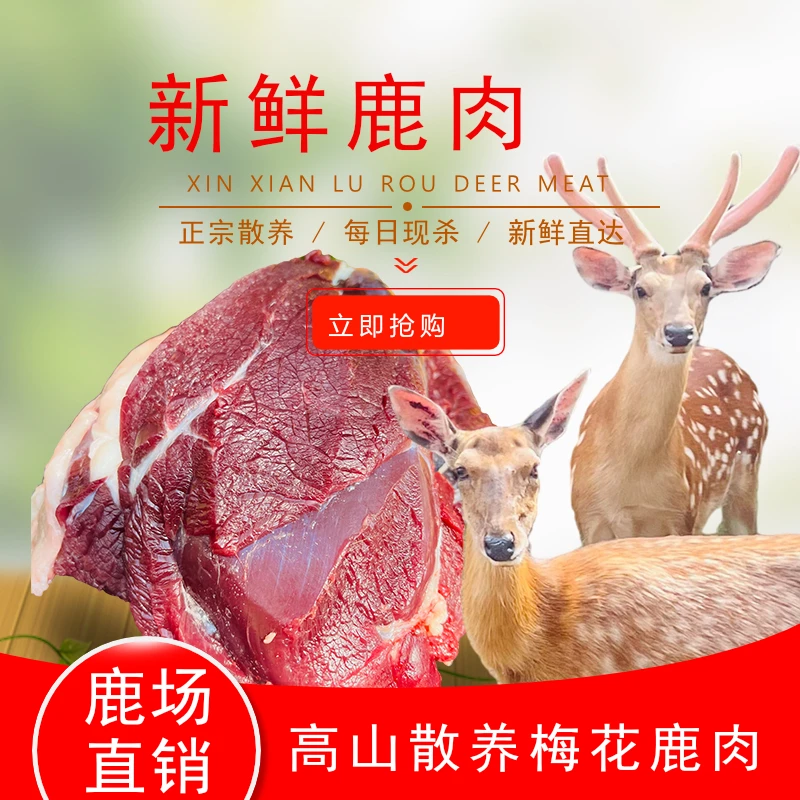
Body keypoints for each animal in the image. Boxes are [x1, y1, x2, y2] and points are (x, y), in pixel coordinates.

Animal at [545, 148, 799, 544]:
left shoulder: (681, 515)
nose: (679, 333)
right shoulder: (589, 520)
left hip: (749, 469)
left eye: (705, 287)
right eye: (640, 289)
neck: (629, 483)